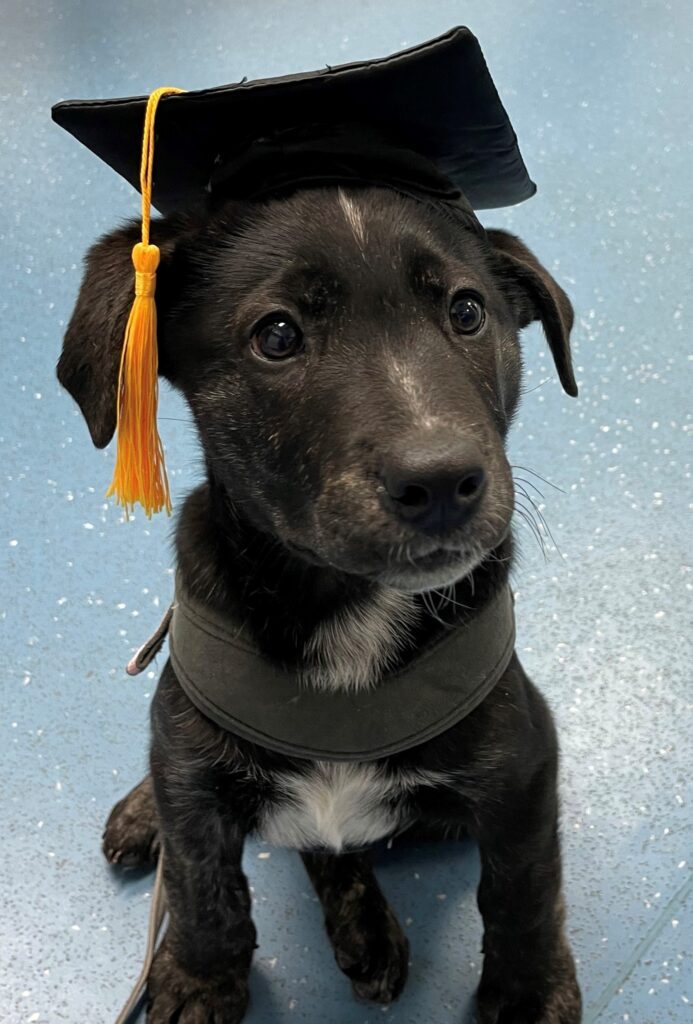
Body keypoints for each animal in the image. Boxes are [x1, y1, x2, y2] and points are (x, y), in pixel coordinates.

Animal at [58, 186, 577, 1024]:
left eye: (466, 311)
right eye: (277, 335)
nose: (441, 480)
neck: (347, 606)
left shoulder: (522, 758)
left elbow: (523, 891)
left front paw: (529, 994)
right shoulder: (194, 776)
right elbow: (201, 881)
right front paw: (197, 976)